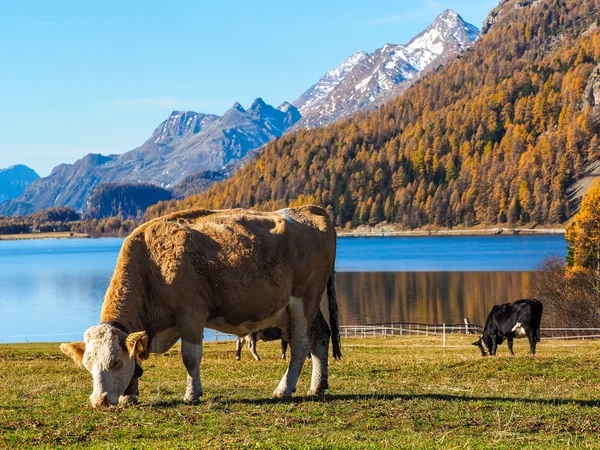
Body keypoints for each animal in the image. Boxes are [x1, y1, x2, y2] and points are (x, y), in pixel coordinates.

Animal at [61, 207, 342, 408]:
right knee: (319, 336)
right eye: (88, 365)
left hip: (303, 299)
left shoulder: (191, 314)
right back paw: (317, 386)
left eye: (116, 362)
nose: (99, 401)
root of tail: (310, 209)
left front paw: (191, 394)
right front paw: (129, 396)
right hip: (307, 305)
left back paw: (284, 389)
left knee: (300, 345)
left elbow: (190, 357)